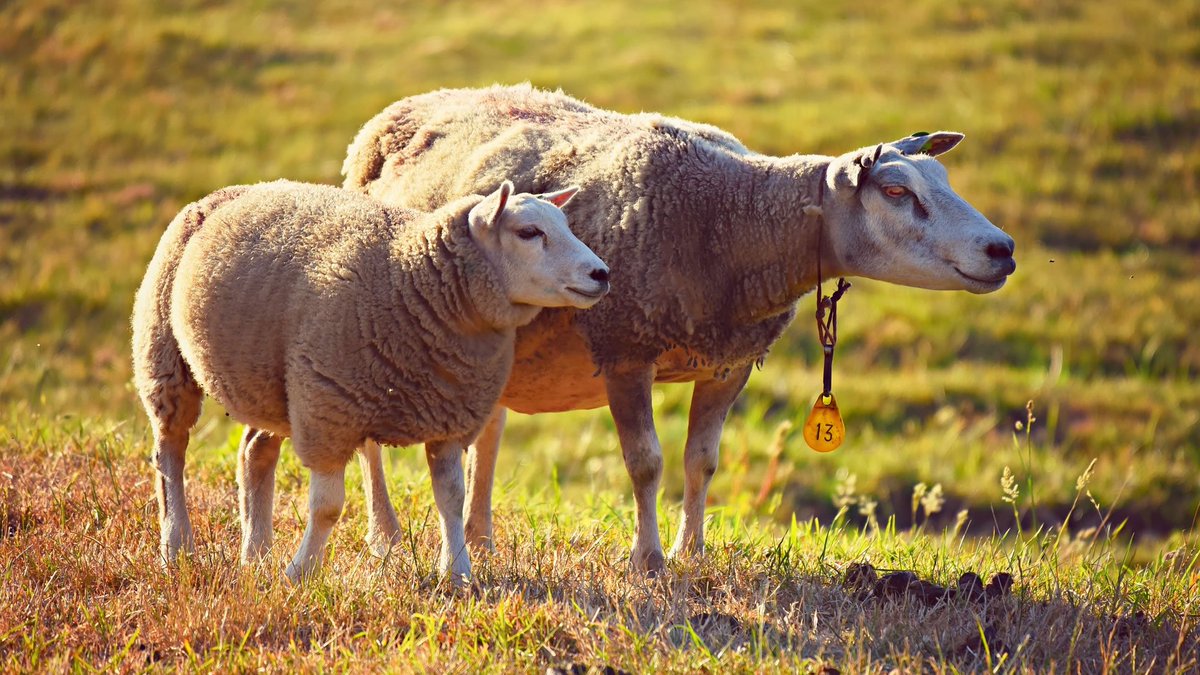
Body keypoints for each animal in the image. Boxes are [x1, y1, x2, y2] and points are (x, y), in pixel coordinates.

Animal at [131, 180, 609, 583]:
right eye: (529, 232)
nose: (601, 274)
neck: (412, 279)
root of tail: (226, 193)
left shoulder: (449, 415)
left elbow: (451, 498)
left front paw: (457, 574)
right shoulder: (329, 409)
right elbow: (328, 508)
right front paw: (300, 574)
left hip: (270, 383)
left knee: (254, 454)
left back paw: (256, 555)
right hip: (164, 355)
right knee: (170, 453)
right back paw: (177, 548)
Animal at [328, 82, 1012, 566]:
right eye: (897, 193)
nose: (1002, 249)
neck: (732, 221)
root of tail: (400, 109)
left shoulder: (729, 362)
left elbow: (701, 461)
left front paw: (693, 551)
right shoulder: (625, 348)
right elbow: (646, 463)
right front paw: (649, 558)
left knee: (488, 431)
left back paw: (481, 537)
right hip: (373, 321)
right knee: (370, 440)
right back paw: (385, 535)